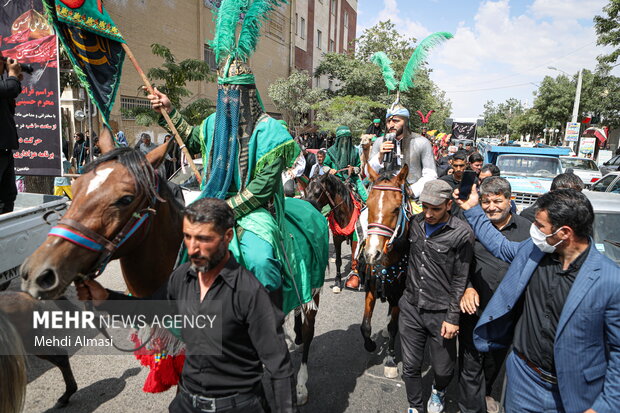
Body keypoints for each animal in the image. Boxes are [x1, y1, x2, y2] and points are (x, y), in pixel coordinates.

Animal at [358, 163, 412, 376]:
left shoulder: (398, 292)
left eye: (396, 209)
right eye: (368, 205)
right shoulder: (371, 286)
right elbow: (365, 325)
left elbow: (393, 327)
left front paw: (390, 360)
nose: (372, 253)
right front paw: (370, 345)